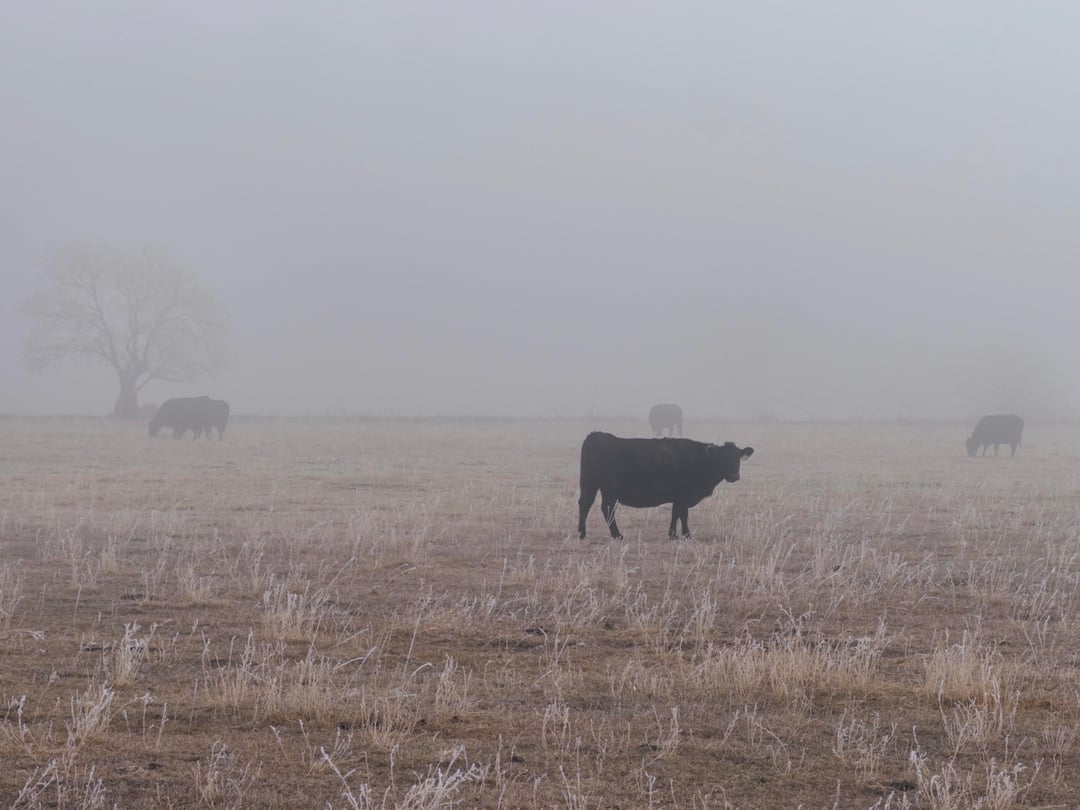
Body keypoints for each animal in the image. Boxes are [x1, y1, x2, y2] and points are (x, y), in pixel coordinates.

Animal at [578, 431, 753, 540]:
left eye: (738, 457)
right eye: (722, 458)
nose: (734, 476)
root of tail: (597, 435)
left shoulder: (682, 497)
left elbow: (680, 514)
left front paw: (682, 534)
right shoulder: (682, 494)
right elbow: (680, 514)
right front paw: (678, 535)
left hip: (589, 483)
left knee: (585, 504)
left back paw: (582, 533)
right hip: (609, 489)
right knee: (606, 508)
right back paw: (617, 535)